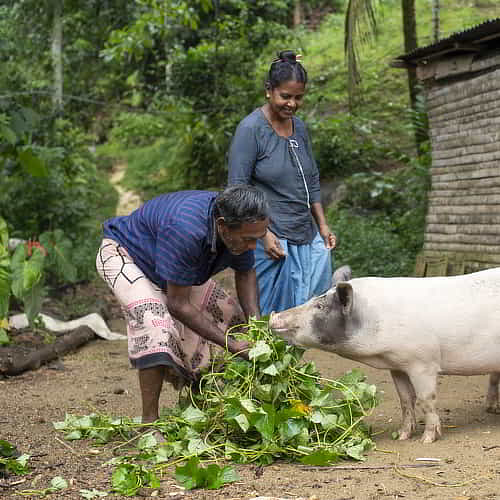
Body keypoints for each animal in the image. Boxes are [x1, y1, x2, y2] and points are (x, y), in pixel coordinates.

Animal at [270, 268, 500, 444]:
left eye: (320, 306)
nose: (273, 316)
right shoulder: (397, 366)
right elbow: (405, 399)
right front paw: (402, 436)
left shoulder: (423, 362)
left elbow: (426, 399)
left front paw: (426, 440)